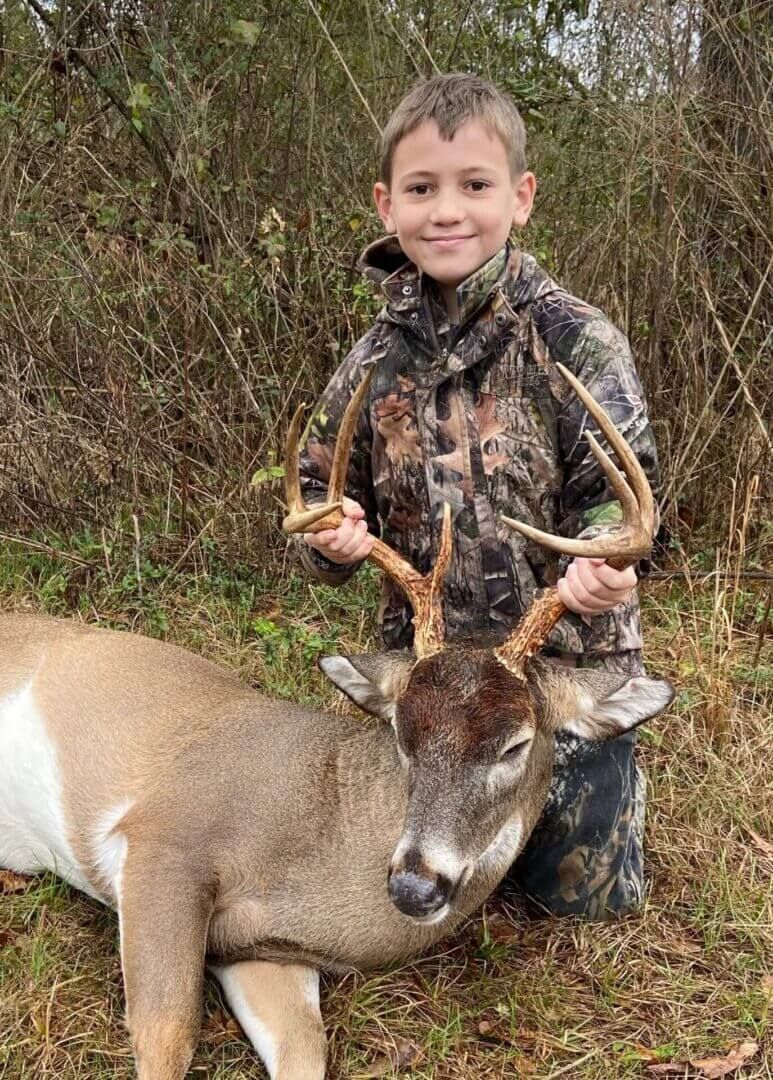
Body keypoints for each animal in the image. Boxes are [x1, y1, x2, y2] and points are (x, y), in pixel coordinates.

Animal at [0, 364, 673, 1080]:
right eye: (403, 733)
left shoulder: (261, 949)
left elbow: (306, 1052)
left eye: (515, 743)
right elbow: (168, 1035)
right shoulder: (167, 837)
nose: (414, 884)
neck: (318, 841)